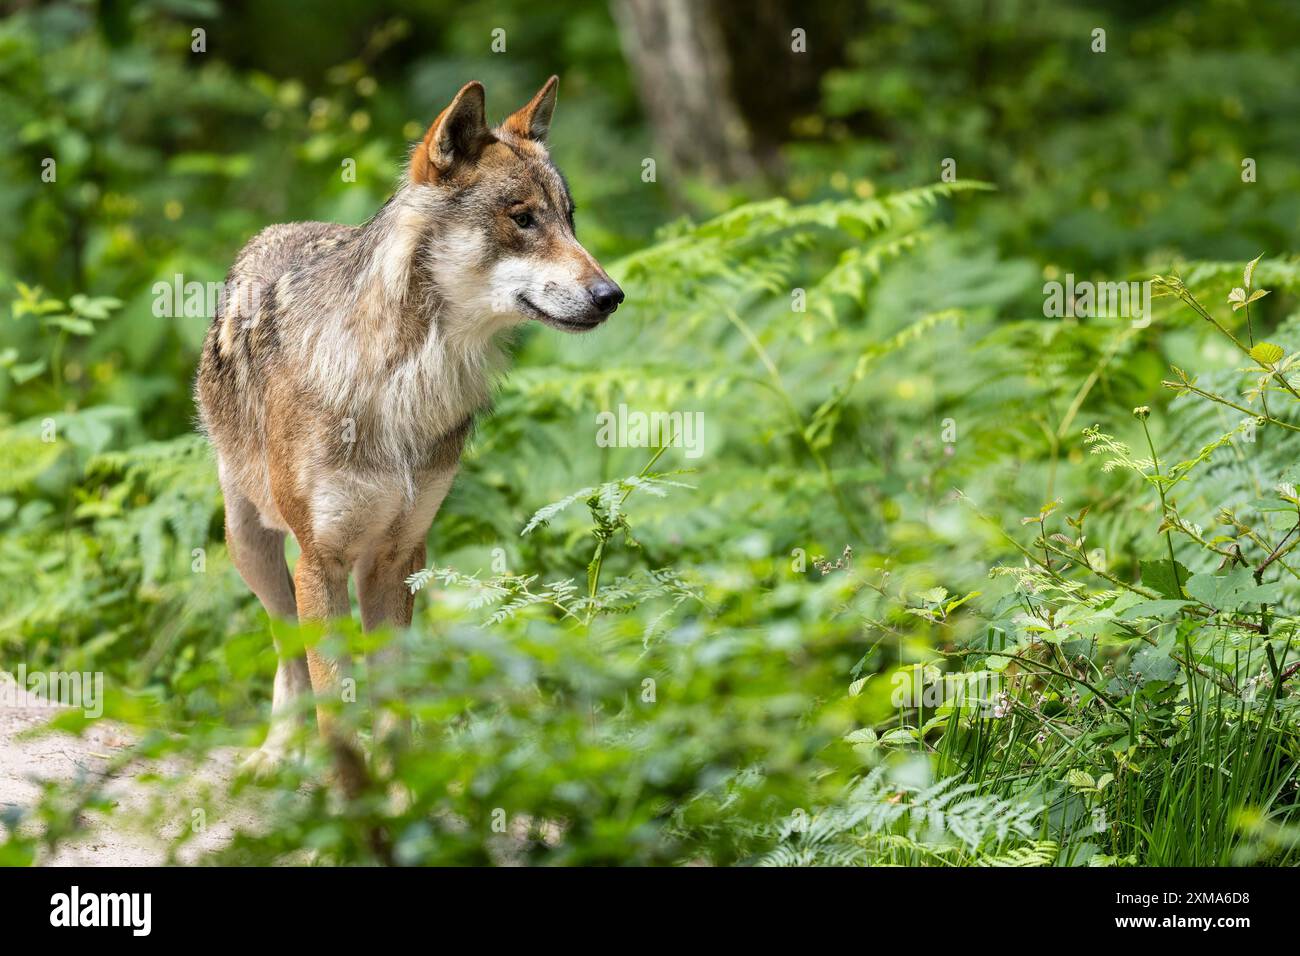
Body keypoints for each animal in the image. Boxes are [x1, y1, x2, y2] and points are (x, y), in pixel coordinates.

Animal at [192, 76, 624, 780]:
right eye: (523, 219)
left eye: (570, 217)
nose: (611, 295)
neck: (403, 381)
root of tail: (277, 230)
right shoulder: (320, 561)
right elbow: (334, 705)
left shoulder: (399, 558)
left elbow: (393, 706)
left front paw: (399, 791)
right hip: (252, 548)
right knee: (287, 654)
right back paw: (277, 752)